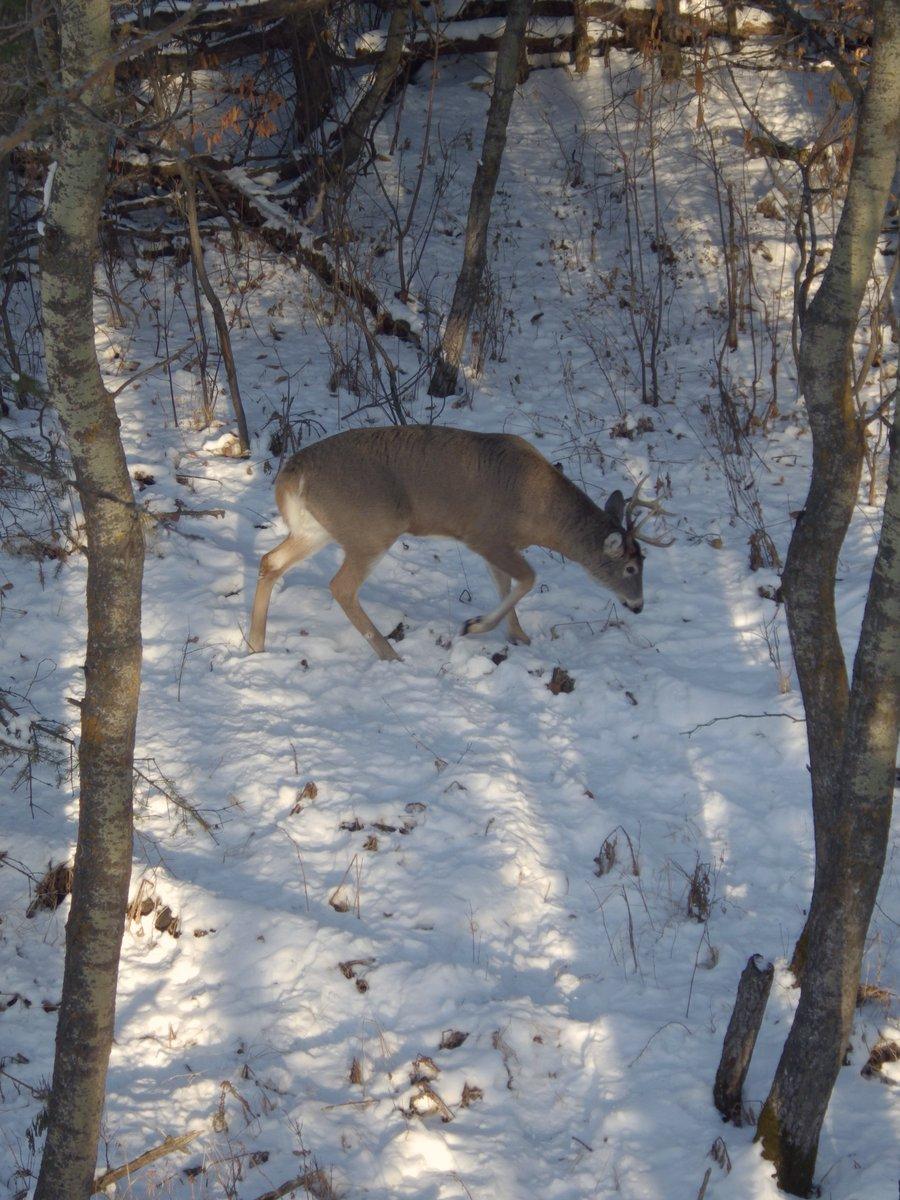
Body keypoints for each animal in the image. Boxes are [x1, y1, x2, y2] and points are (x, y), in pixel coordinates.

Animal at [250, 427, 672, 662]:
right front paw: (474, 625)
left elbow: (506, 583)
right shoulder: (485, 534)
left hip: (315, 528)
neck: (539, 513)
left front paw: (519, 637)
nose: (638, 606)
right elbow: (527, 579)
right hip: (372, 528)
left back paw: (256, 645)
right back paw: (390, 654)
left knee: (270, 560)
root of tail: (291, 474)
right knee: (341, 586)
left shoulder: (495, 544)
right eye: (631, 567)